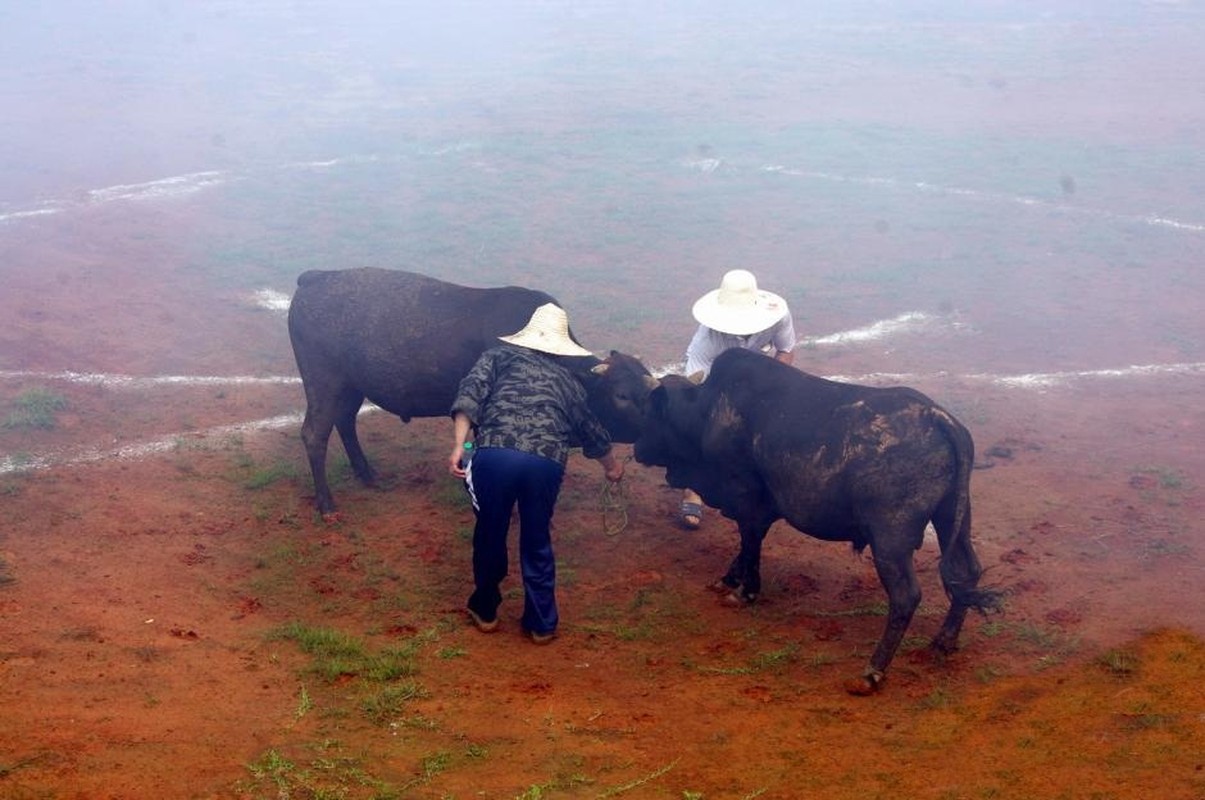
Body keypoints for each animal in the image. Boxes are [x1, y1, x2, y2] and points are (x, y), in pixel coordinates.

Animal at [286, 265, 655, 515]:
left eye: (647, 389)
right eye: (621, 395)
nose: (651, 431)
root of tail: (316, 278)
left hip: (350, 386)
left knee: (345, 421)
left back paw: (367, 474)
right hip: (323, 384)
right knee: (314, 435)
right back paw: (327, 504)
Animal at [636, 349, 1002, 693]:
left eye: (652, 414)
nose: (637, 450)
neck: (707, 411)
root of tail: (939, 418)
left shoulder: (747, 499)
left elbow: (750, 542)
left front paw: (745, 591)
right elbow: (745, 546)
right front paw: (728, 579)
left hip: (890, 539)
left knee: (906, 596)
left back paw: (873, 671)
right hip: (953, 518)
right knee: (967, 571)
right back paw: (944, 641)